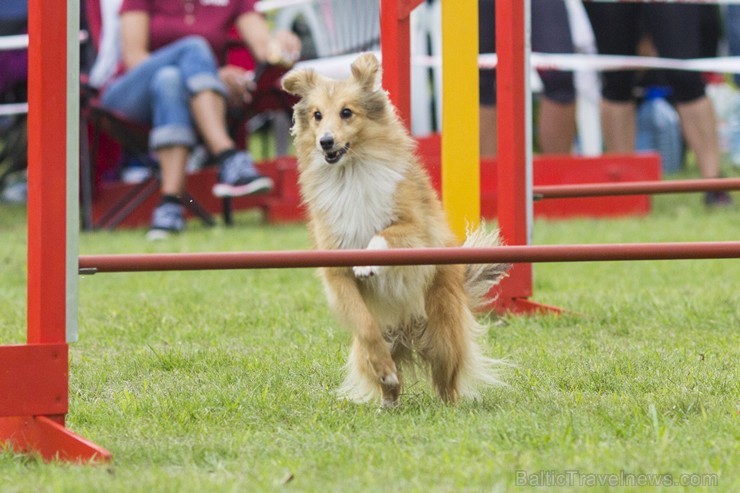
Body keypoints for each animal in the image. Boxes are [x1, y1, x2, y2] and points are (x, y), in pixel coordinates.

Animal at [282, 52, 508, 408]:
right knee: (389, 376)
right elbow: (364, 324)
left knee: (447, 380)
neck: (350, 173)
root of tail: (409, 332)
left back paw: (449, 406)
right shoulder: (336, 271)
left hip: (443, 332)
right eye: (317, 115)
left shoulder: (416, 229)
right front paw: (384, 370)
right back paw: (388, 398)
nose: (326, 142)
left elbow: (385, 233)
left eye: (347, 112)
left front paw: (369, 262)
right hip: (374, 346)